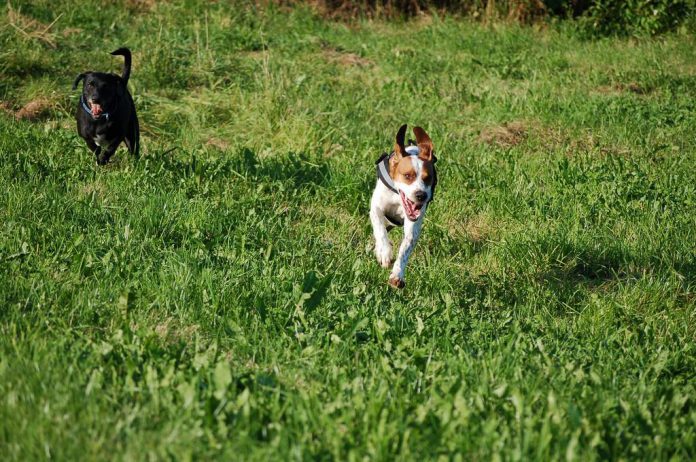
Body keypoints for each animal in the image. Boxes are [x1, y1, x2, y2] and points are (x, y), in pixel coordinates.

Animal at [370, 124, 436, 286]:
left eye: (428, 178)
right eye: (407, 176)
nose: (421, 195)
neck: (398, 196)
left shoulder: (413, 225)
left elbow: (405, 249)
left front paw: (397, 274)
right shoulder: (376, 208)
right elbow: (380, 230)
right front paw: (384, 252)